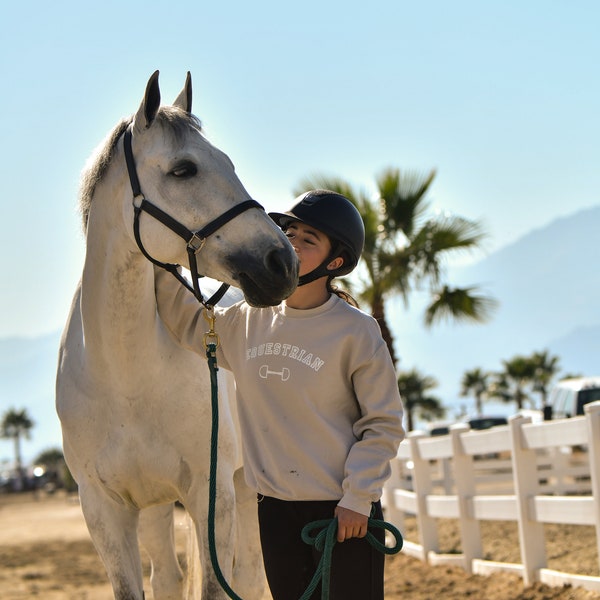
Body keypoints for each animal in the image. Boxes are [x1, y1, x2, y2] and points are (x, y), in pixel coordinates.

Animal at [55, 71, 298, 600]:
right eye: (184, 169)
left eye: (228, 162)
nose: (282, 263)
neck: (125, 378)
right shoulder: (105, 511)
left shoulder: (212, 495)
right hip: (156, 509)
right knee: (166, 576)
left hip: (247, 489)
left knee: (250, 575)